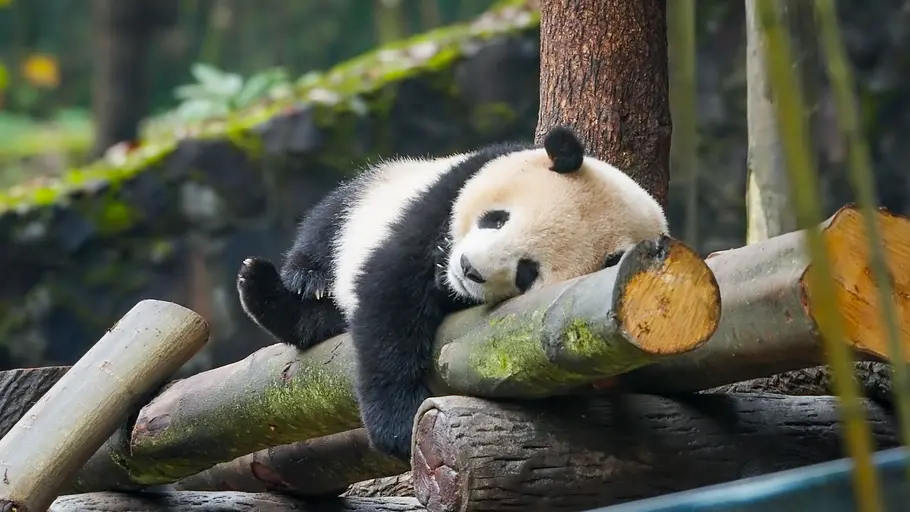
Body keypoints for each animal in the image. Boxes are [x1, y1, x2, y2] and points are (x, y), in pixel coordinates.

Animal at [236, 125, 668, 461]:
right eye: (497, 219)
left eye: (527, 272)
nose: (468, 268)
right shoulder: (451, 188)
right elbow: (391, 291)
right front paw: (398, 425)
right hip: (378, 193)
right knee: (330, 221)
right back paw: (279, 283)